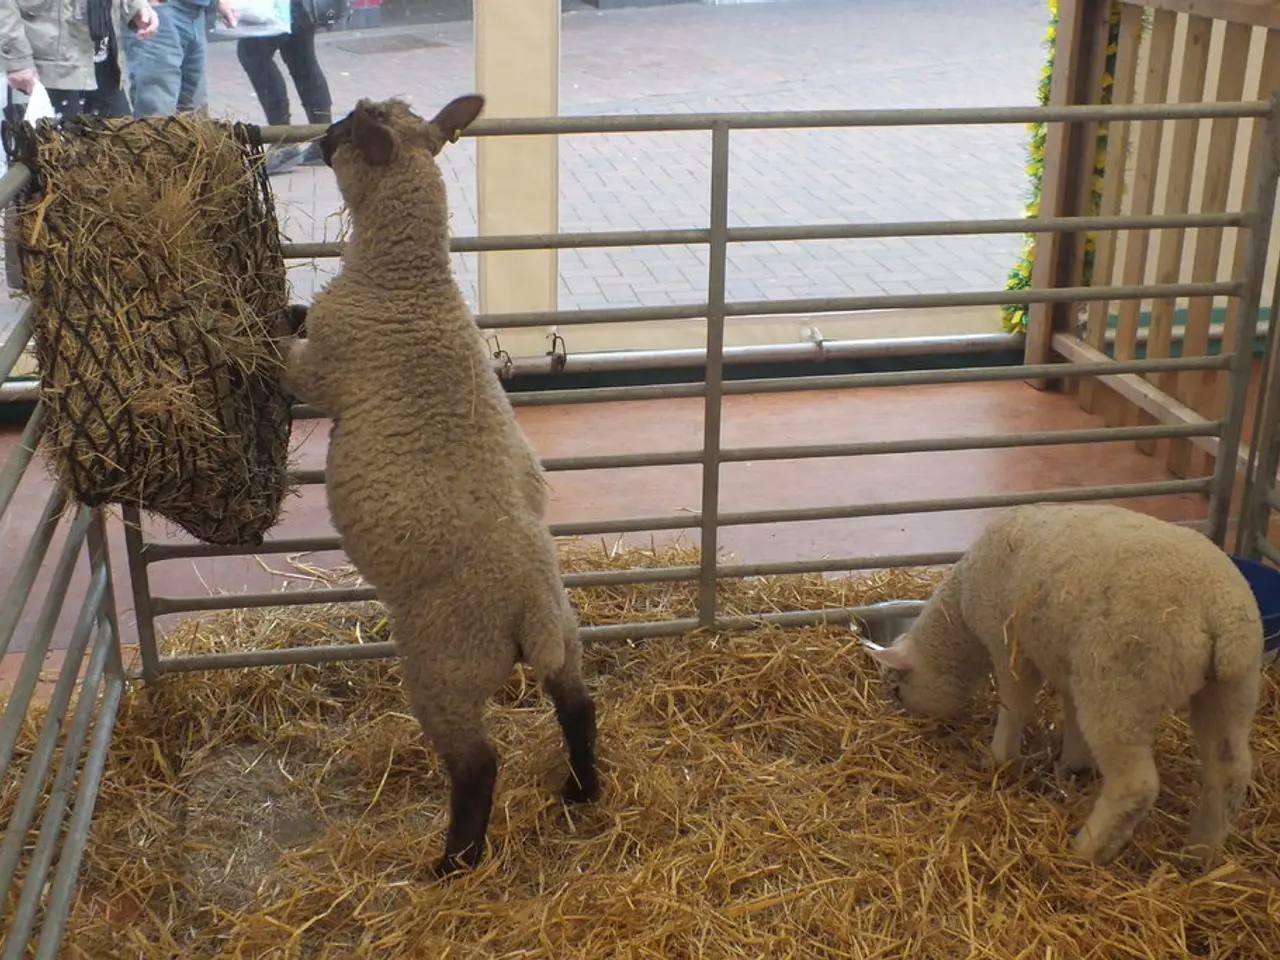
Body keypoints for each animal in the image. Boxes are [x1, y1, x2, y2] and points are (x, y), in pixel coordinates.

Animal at [280, 95, 601, 877]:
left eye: (343, 131)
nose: (319, 136)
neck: (407, 277)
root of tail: (527, 610)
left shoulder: (320, 370)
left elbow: (283, 360)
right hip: (566, 631)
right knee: (577, 706)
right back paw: (581, 790)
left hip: (444, 669)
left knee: (478, 763)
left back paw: (453, 862)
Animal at [862, 503, 1263, 868]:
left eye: (897, 690)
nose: (906, 722)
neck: (959, 615)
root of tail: (1219, 613)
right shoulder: (1068, 665)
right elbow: (1071, 713)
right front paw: (1073, 764)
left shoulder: (1010, 647)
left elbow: (1014, 703)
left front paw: (999, 758)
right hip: (1231, 690)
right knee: (1229, 772)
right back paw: (1198, 854)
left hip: (1121, 690)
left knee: (1136, 786)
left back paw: (1086, 849)